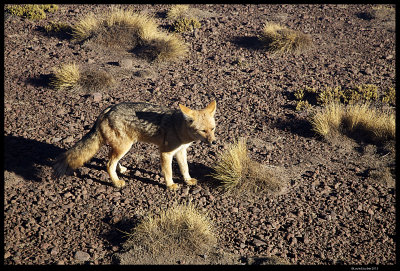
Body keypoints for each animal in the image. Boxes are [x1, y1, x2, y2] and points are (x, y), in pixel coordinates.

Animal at [53, 100, 217, 191]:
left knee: (110, 159)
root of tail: (106, 110)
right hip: (125, 146)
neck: (178, 127)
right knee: (108, 164)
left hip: (122, 147)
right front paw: (170, 185)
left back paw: (121, 170)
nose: (214, 142)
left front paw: (188, 180)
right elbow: (169, 172)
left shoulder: (181, 151)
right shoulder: (165, 153)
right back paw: (116, 182)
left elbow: (185, 168)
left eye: (213, 129)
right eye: (203, 131)